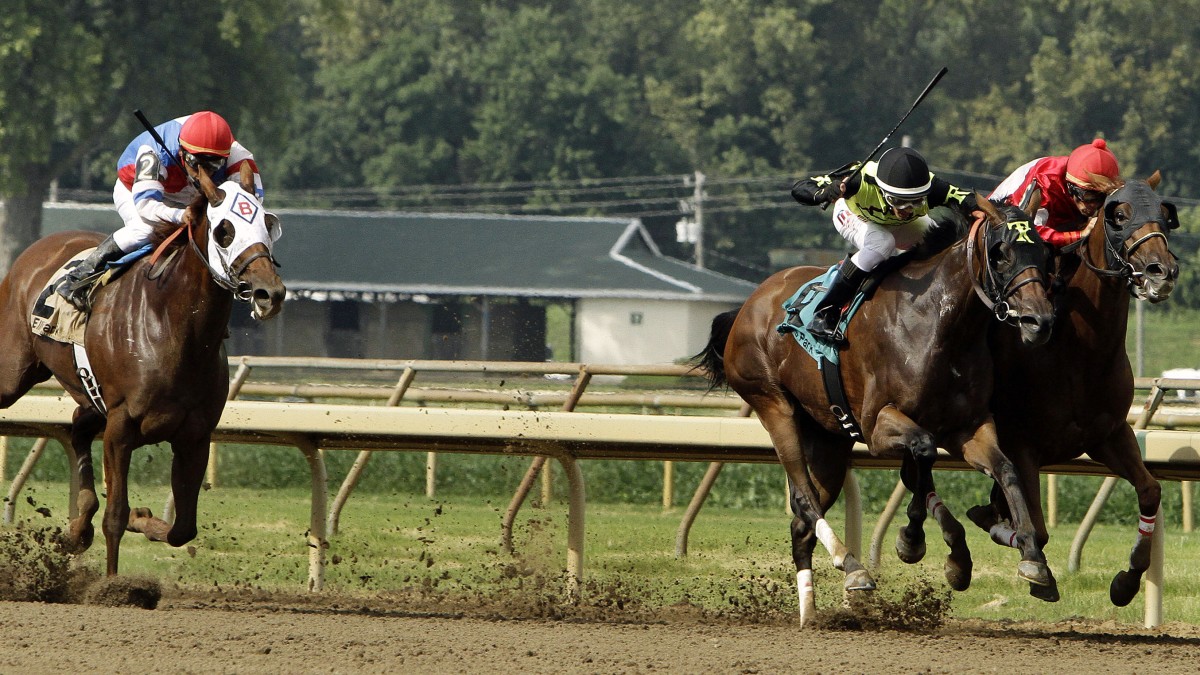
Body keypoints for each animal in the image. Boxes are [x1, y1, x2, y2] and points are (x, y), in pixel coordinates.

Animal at [0, 159, 284, 569]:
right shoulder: (121, 426)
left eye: (267, 224)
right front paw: (114, 577)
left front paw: (143, 518)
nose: (269, 293)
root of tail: (37, 248)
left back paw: (79, 525)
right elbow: (114, 517)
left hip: (91, 395)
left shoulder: (195, 434)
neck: (173, 328)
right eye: (224, 231)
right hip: (14, 373)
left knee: (78, 426)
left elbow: (183, 529)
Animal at [696, 196, 1051, 624]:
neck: (940, 324)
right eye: (1001, 254)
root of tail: (748, 304)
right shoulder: (878, 426)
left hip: (828, 440)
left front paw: (1031, 558)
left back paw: (810, 611)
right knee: (803, 497)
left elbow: (1004, 469)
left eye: (1044, 253)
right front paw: (914, 540)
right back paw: (852, 567)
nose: (1040, 321)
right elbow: (923, 454)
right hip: (772, 404)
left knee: (801, 521)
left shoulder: (969, 427)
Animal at [969, 170, 1176, 600]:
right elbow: (1037, 530)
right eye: (1119, 216)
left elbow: (1151, 490)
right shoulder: (1022, 444)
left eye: (1164, 214)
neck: (1081, 346)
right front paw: (1027, 558)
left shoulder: (1108, 435)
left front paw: (1128, 580)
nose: (1160, 271)